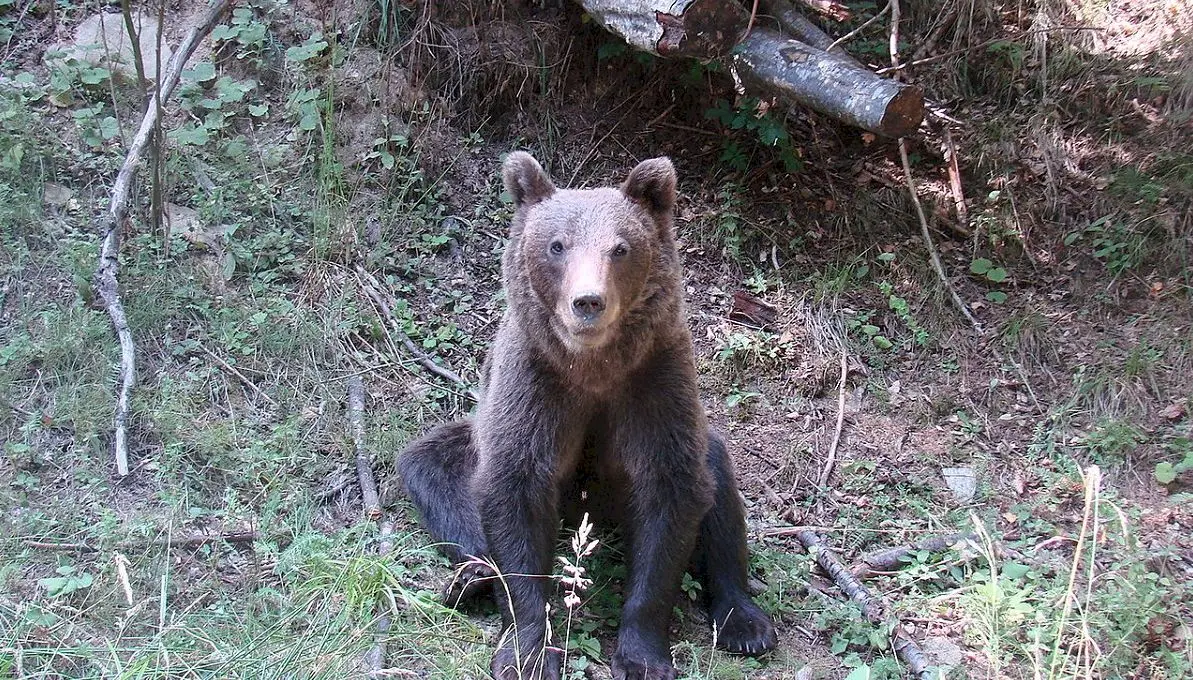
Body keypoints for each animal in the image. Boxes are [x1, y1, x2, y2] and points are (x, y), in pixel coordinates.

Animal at [396, 152, 777, 677]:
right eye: (557, 245)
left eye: (620, 248)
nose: (588, 301)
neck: (592, 368)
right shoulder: (537, 384)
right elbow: (515, 488)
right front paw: (527, 648)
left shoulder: (652, 382)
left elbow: (670, 493)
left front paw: (642, 655)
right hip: (473, 438)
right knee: (431, 468)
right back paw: (471, 578)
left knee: (717, 484)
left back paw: (745, 622)